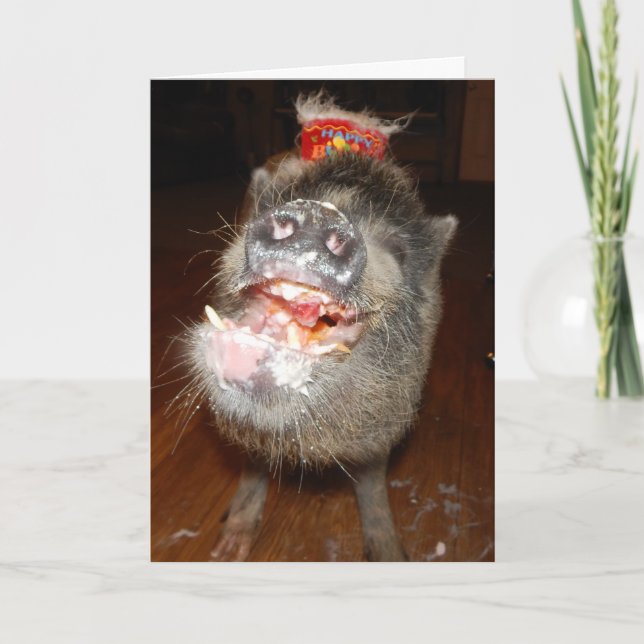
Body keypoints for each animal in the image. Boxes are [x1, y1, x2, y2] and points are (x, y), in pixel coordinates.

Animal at [186, 93, 457, 561]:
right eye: (296, 200)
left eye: (399, 251)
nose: (318, 214)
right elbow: (252, 466)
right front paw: (226, 552)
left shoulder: (385, 426)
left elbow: (371, 481)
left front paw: (392, 555)